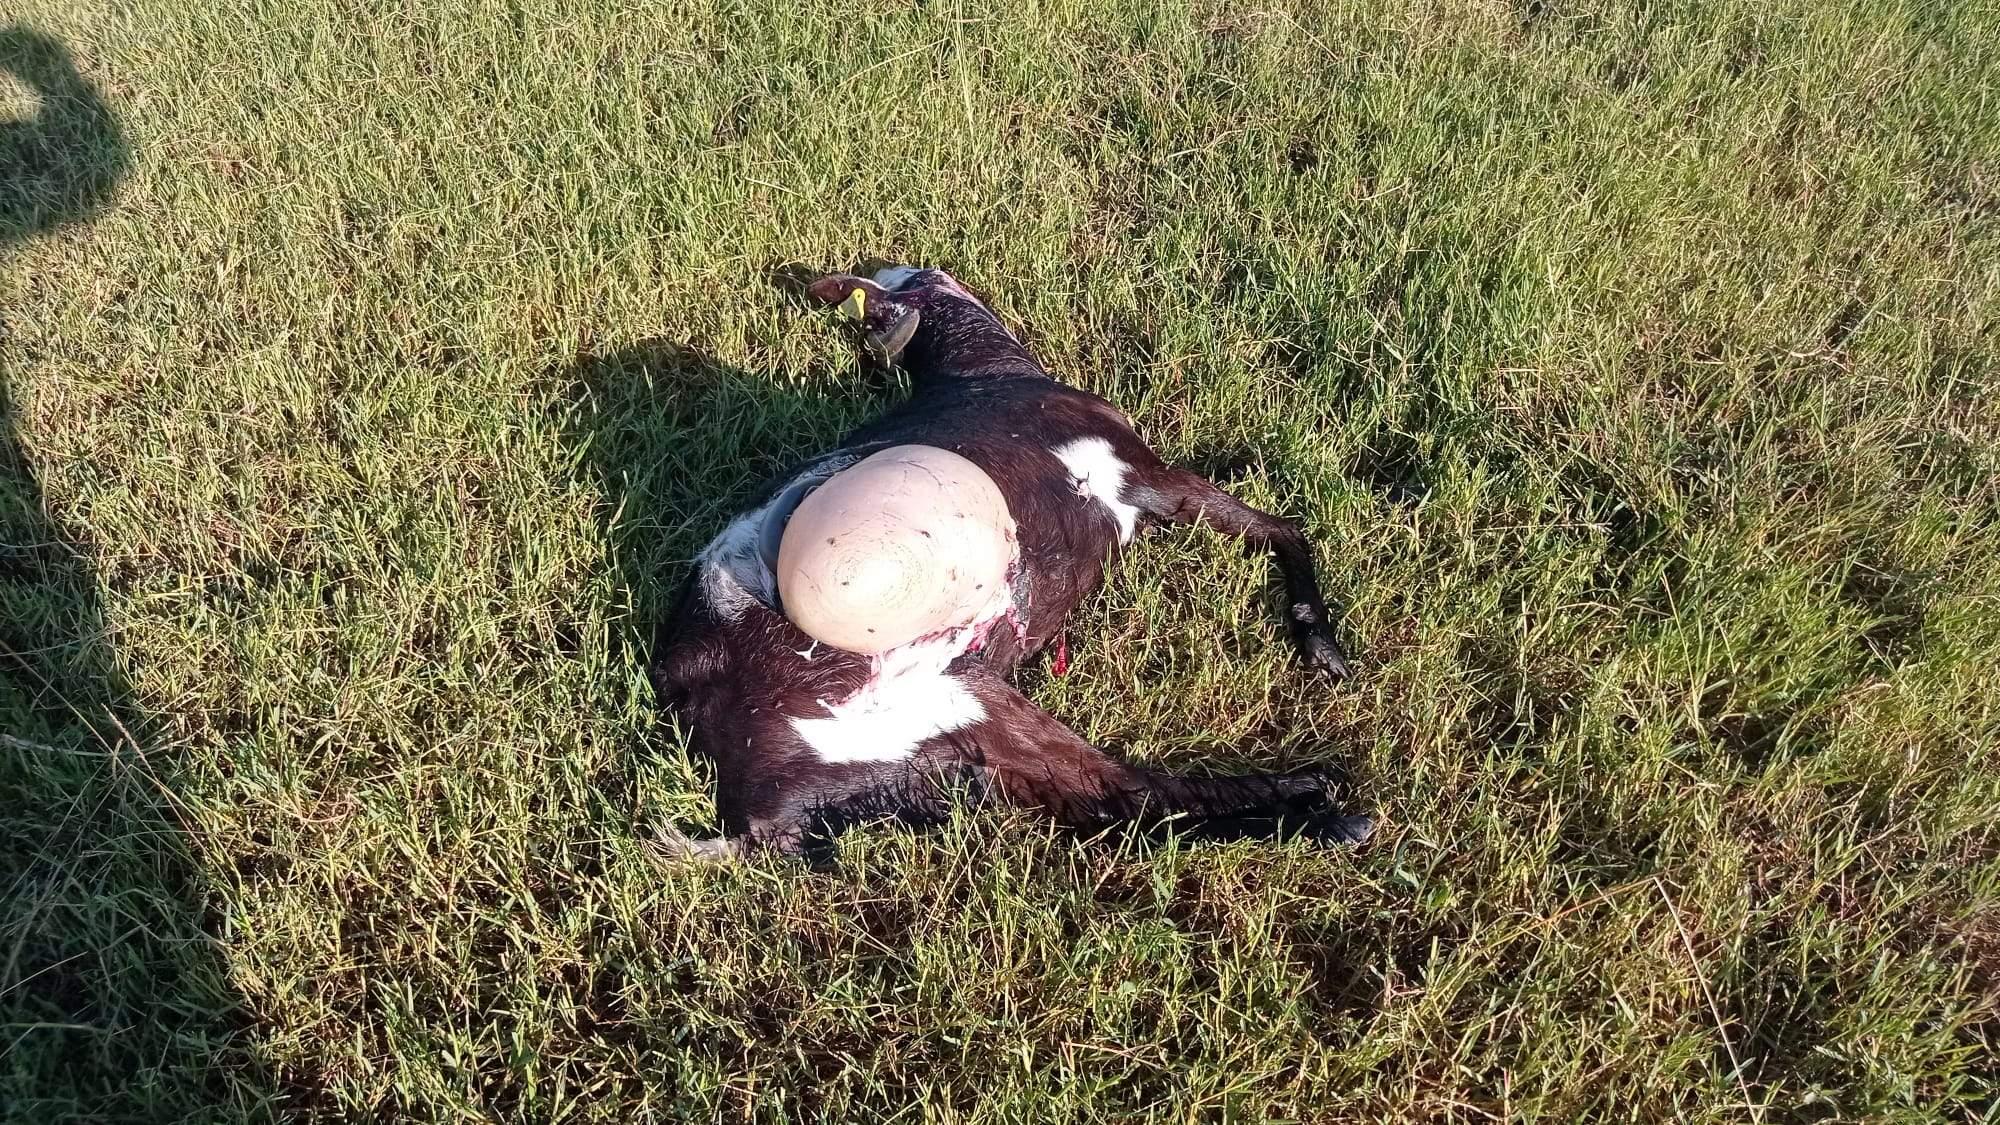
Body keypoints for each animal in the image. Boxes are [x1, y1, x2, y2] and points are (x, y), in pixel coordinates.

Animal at [650, 266, 1370, 860]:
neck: (984, 370)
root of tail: (747, 811)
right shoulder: (1144, 473)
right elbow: (1283, 528)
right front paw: (1321, 643)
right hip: (968, 697)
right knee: (1138, 794)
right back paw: (1325, 801)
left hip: (932, 738)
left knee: (1116, 806)